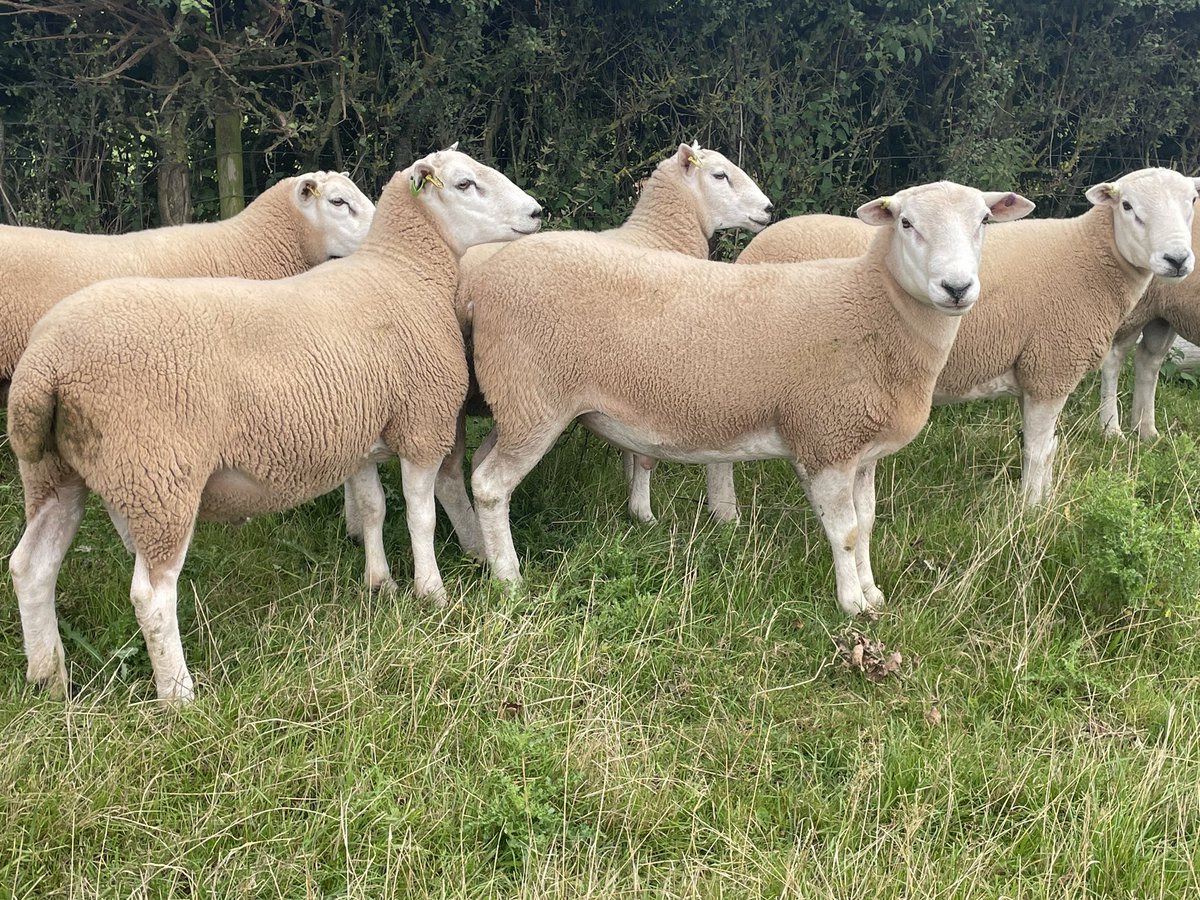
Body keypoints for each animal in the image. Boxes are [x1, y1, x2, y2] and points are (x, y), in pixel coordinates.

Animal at [465, 181, 1034, 617]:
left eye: (985, 220)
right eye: (906, 223)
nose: (956, 287)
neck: (874, 309)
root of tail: (481, 283)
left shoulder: (861, 447)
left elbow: (869, 523)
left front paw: (872, 593)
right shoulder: (825, 438)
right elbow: (847, 531)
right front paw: (852, 605)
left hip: (514, 404)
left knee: (477, 467)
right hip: (534, 397)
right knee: (491, 486)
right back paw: (509, 579)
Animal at [1098, 213, 1200, 440]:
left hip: (1163, 314)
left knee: (1148, 360)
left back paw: (1145, 430)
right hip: (1136, 306)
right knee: (1113, 358)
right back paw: (1111, 429)